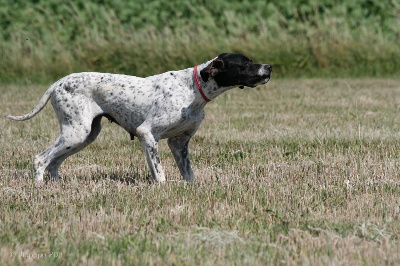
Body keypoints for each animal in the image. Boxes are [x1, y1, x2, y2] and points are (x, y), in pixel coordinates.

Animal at [6, 53, 272, 183]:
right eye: (246, 64)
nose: (269, 67)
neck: (192, 89)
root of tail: (57, 83)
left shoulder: (179, 144)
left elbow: (189, 175)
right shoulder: (148, 134)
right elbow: (160, 173)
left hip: (84, 136)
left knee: (54, 163)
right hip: (76, 132)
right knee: (41, 159)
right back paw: (39, 187)